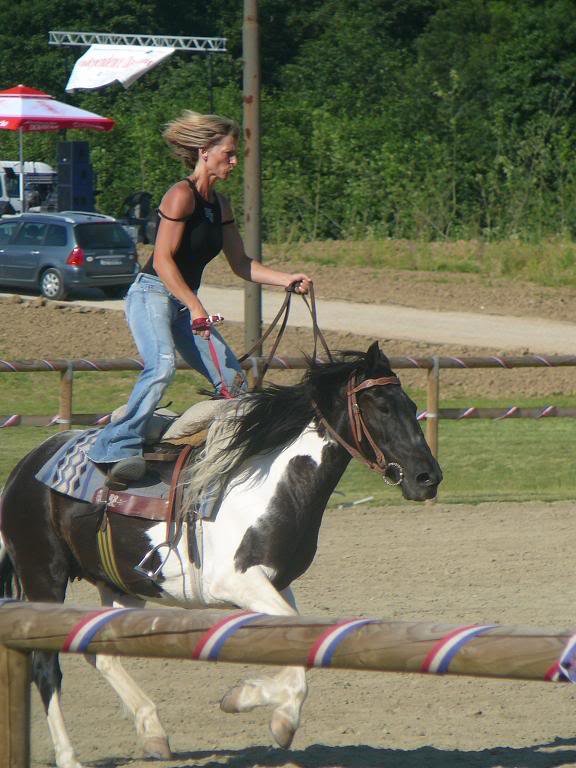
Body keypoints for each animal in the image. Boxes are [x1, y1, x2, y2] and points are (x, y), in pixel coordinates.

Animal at [0, 344, 444, 768]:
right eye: (383, 407)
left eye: (410, 405)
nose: (429, 477)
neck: (271, 483)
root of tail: (24, 466)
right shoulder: (238, 582)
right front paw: (255, 703)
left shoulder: (277, 583)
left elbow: (300, 643)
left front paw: (274, 712)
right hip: (44, 576)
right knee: (46, 666)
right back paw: (69, 756)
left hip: (118, 583)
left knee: (102, 652)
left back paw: (154, 732)